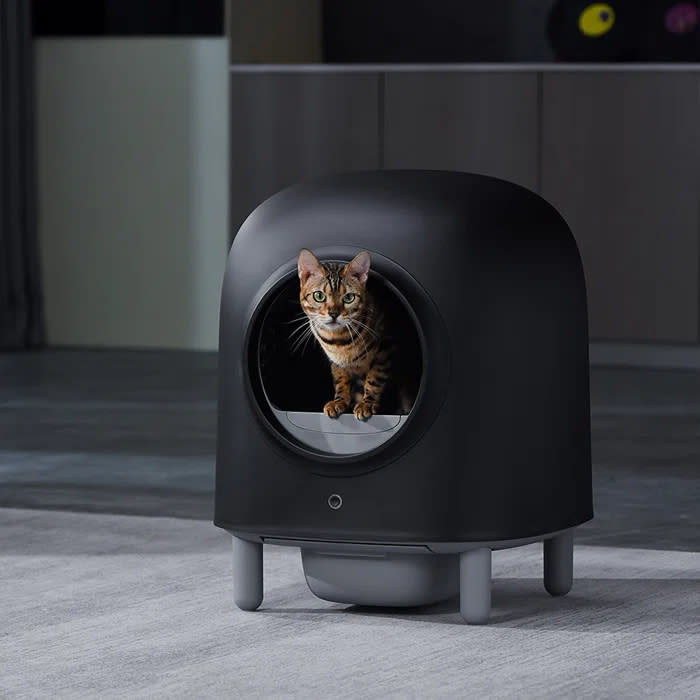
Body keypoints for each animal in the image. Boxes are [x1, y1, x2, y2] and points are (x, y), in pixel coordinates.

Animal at [296, 247, 410, 418]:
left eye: (349, 297)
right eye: (319, 296)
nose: (334, 313)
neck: (339, 340)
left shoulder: (386, 346)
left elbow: (375, 377)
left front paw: (367, 403)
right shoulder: (336, 361)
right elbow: (341, 380)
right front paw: (339, 401)